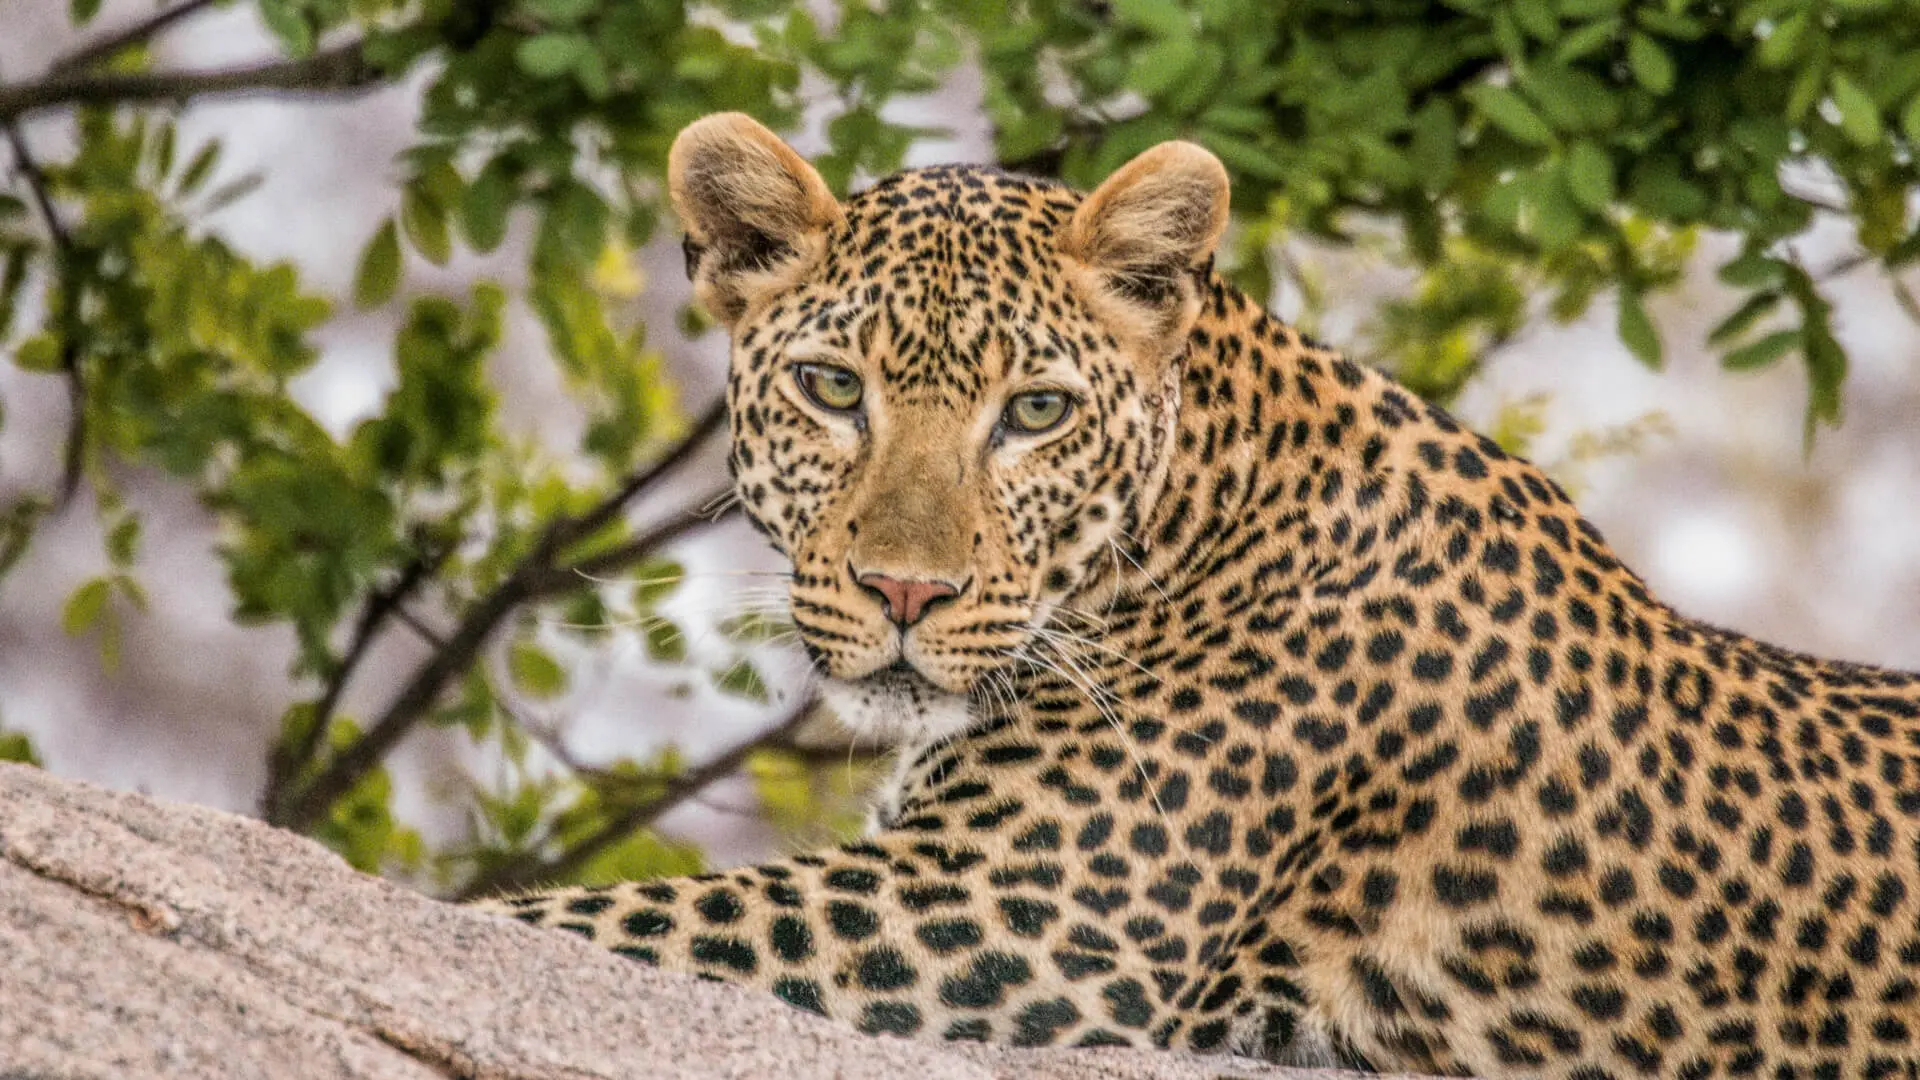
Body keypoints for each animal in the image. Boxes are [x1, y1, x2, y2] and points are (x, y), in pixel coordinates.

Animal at [474, 112, 1920, 1079]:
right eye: (835, 390)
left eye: (1036, 412)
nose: (904, 590)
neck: (1196, 511)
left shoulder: (995, 919)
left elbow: (561, 920)